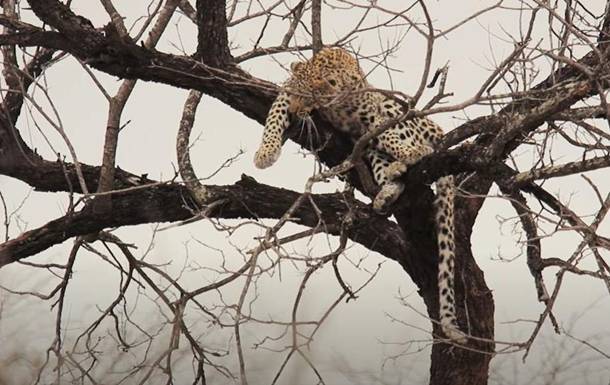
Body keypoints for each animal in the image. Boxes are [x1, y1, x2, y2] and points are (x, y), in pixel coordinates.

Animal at [252, 46, 466, 344]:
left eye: (306, 97)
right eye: (294, 94)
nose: (296, 111)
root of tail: (434, 127)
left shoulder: (373, 113)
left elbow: (387, 133)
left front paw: (410, 152)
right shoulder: (285, 92)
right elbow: (274, 116)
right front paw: (266, 152)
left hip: (394, 113)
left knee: (402, 140)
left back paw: (408, 158)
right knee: (385, 164)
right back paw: (389, 186)